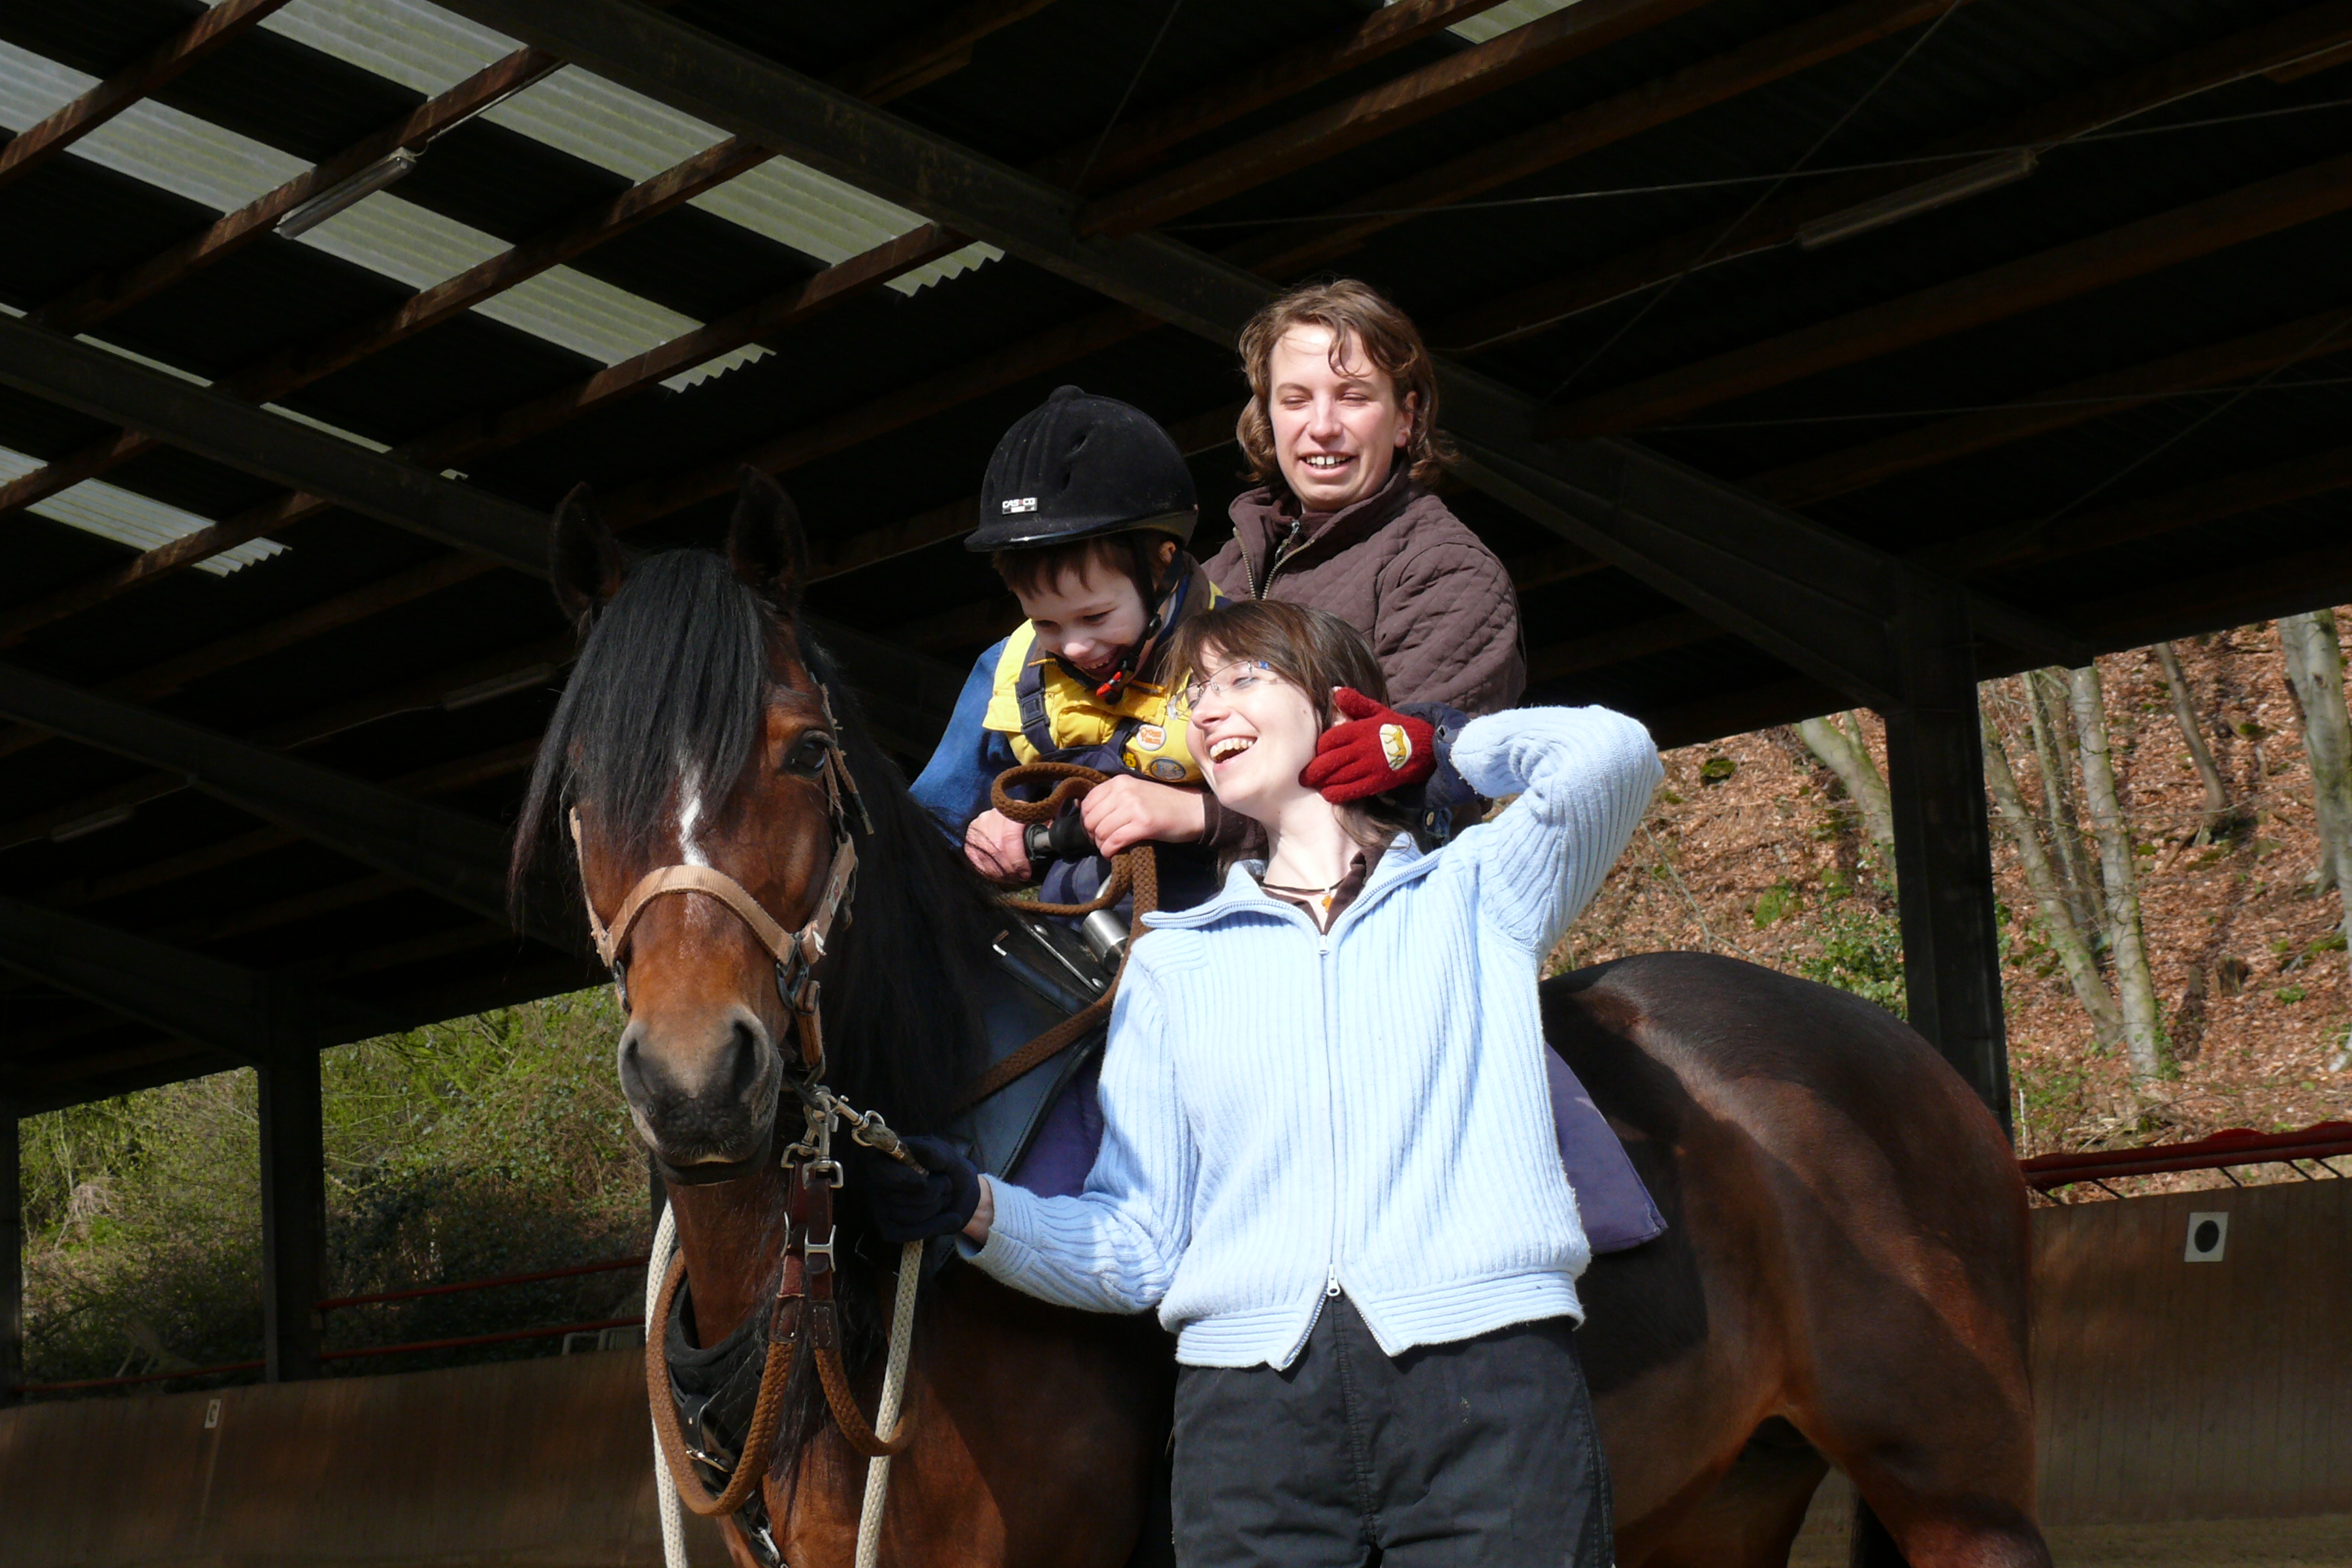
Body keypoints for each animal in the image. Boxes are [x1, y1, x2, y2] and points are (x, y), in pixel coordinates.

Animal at [510, 474, 2041, 1568]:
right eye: (582, 783)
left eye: (807, 751)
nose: (699, 1078)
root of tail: (1911, 1065)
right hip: (1717, 1504)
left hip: (1963, 1503)